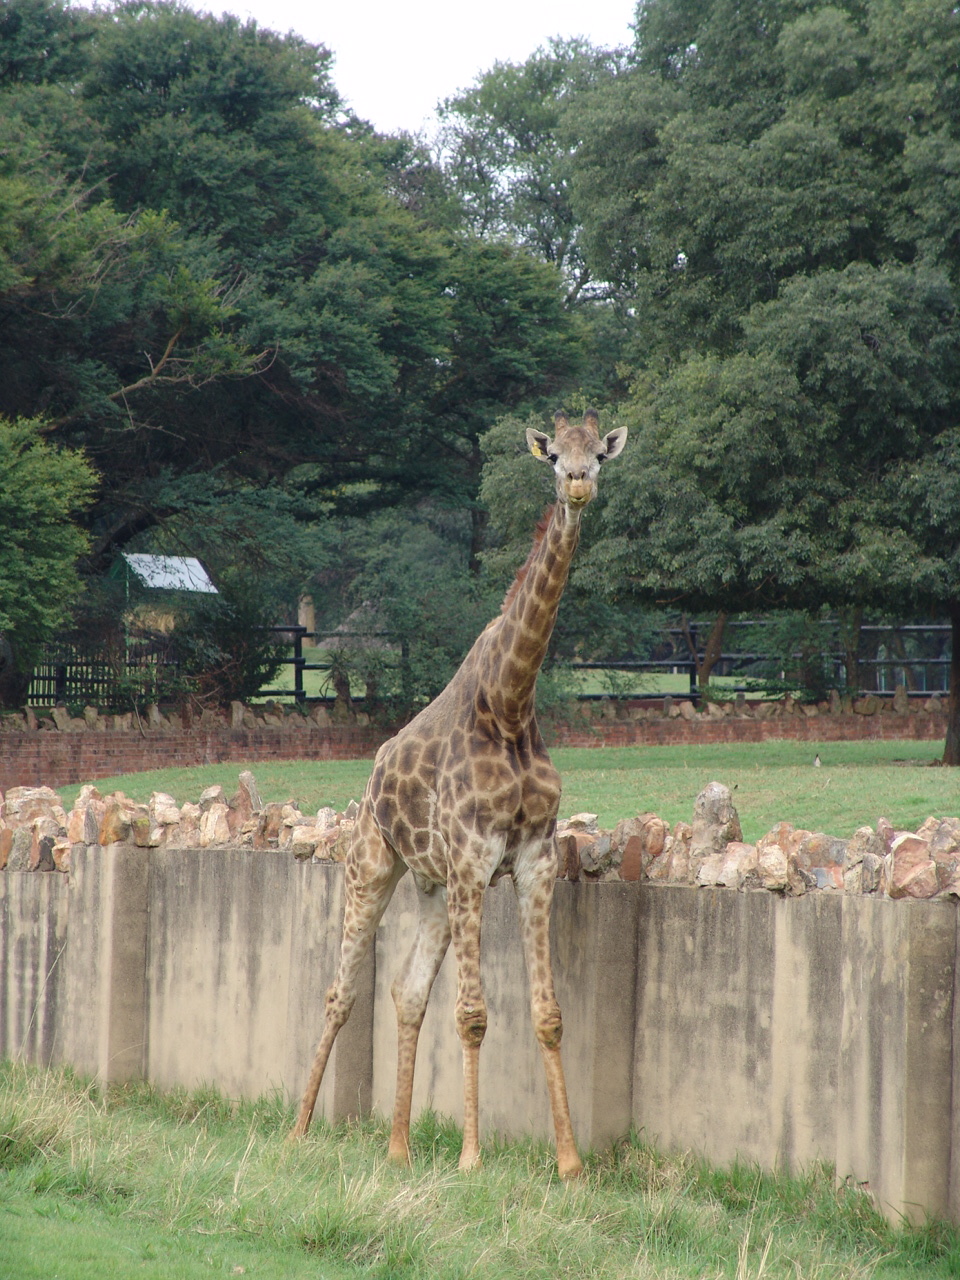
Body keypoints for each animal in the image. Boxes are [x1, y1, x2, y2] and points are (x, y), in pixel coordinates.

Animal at [290, 409, 628, 1178]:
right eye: (553, 456)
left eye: (598, 455)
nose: (578, 484)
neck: (509, 702)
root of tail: (370, 779)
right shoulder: (476, 855)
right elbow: (473, 1014)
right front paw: (474, 1158)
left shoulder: (533, 858)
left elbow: (547, 1014)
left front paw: (569, 1164)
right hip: (373, 866)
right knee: (340, 992)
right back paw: (296, 1131)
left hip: (433, 888)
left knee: (406, 991)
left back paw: (399, 1147)